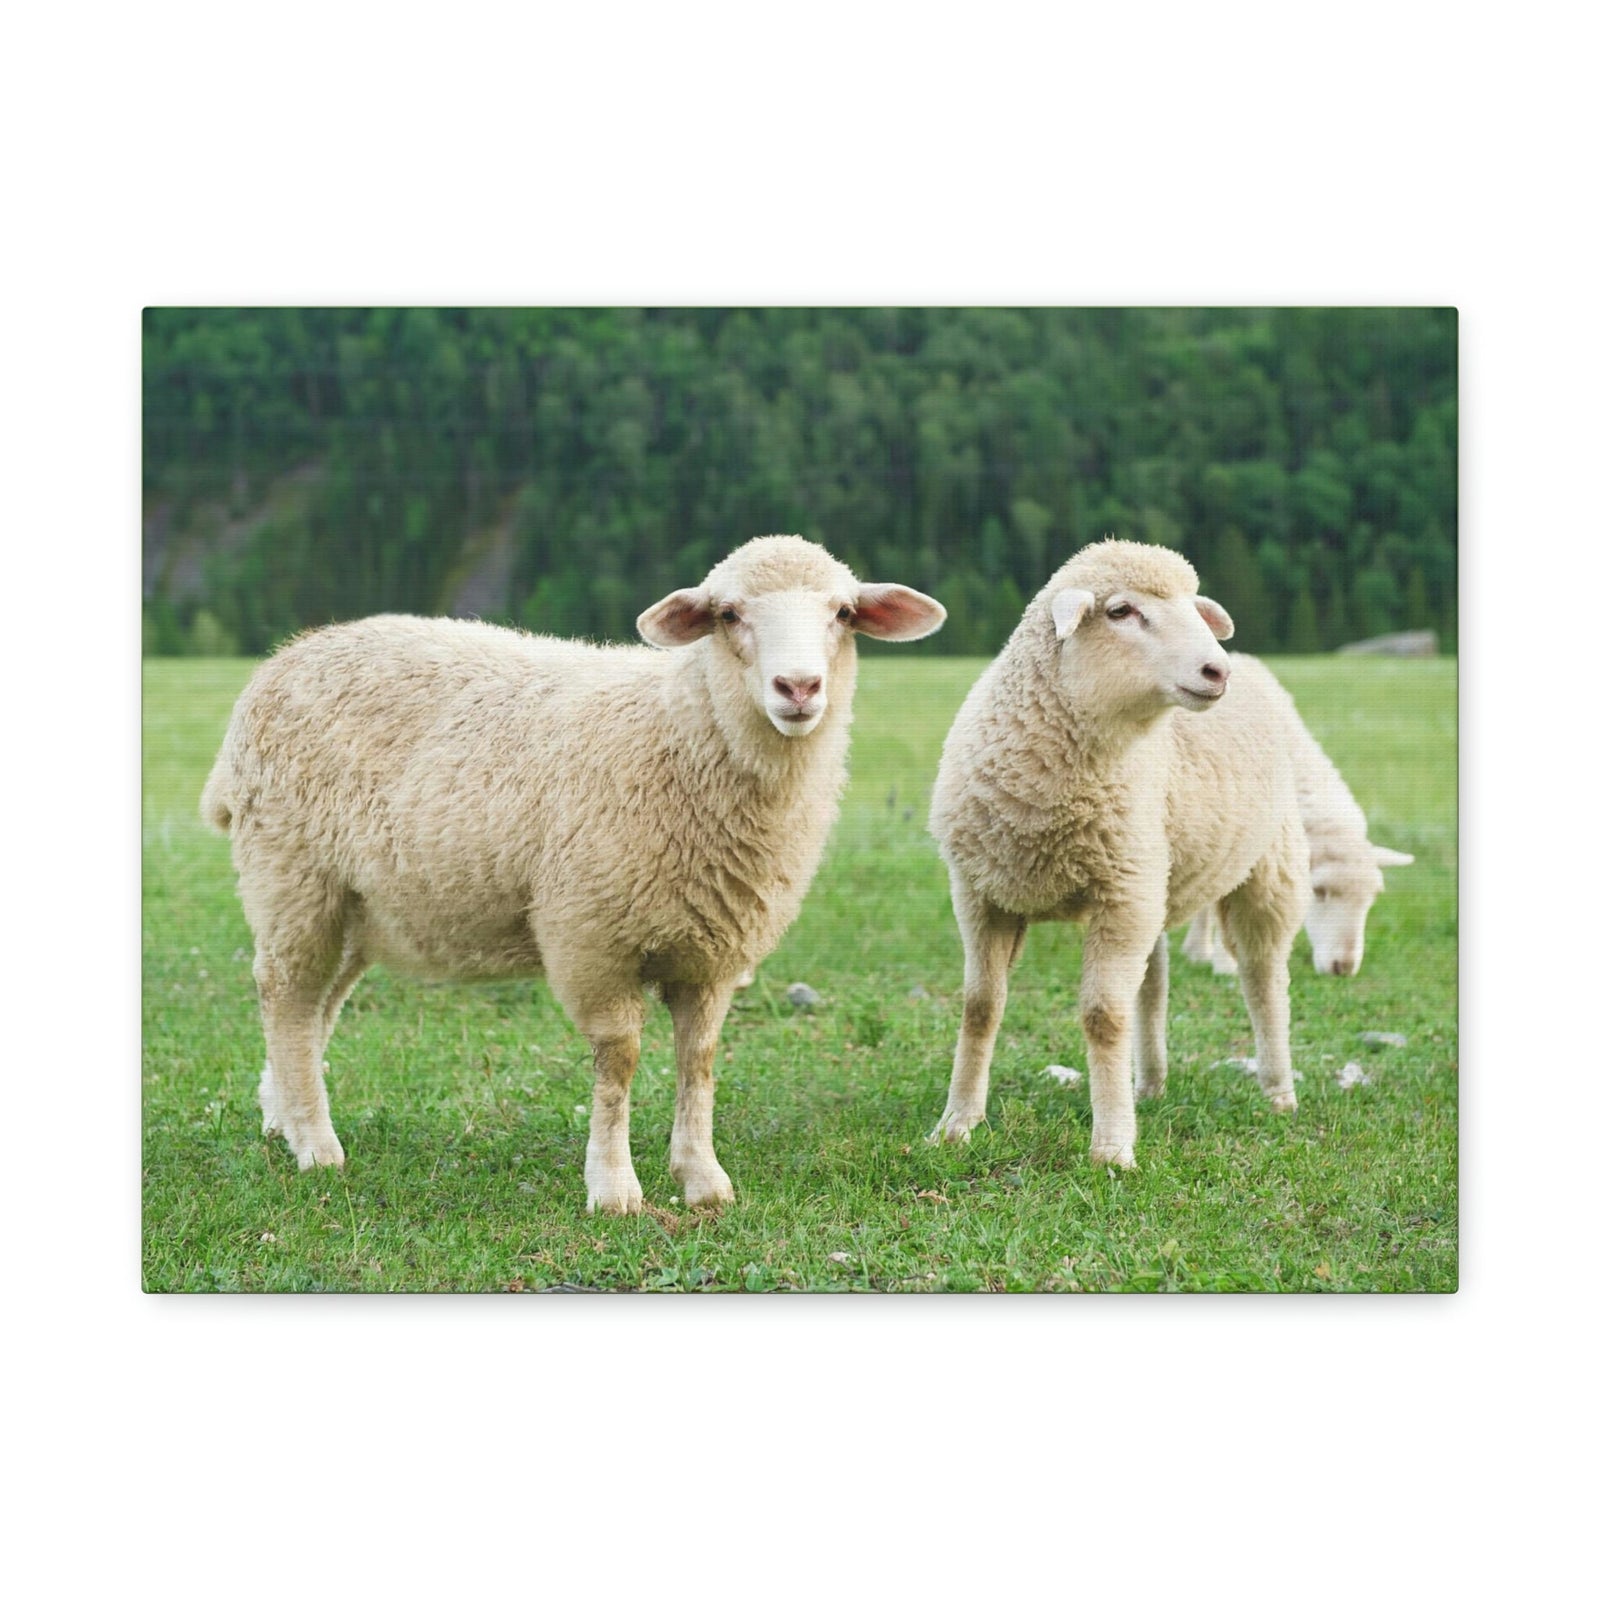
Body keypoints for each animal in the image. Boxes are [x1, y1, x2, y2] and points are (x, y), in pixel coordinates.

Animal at [200, 536, 945, 1214]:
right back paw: (315, 1145)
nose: (798, 688)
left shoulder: (714, 952)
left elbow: (699, 1059)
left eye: (844, 612)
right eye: (728, 613)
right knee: (287, 996)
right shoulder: (593, 937)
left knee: (316, 1008)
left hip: (357, 905)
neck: (683, 733)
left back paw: (283, 1115)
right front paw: (614, 1188)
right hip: (291, 876)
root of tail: (284, 659)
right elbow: (619, 1061)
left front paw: (702, 1178)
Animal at [927, 538, 1309, 1168]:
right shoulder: (982, 894)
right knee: (1153, 987)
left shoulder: (1119, 896)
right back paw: (1148, 1085)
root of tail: (1255, 667)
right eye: (1121, 611)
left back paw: (1278, 1090)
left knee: (1263, 978)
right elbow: (979, 1007)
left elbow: (1103, 1018)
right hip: (1154, 878)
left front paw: (1111, 1147)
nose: (1216, 671)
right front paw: (957, 1123)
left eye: (1194, 607)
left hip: (1264, 870)